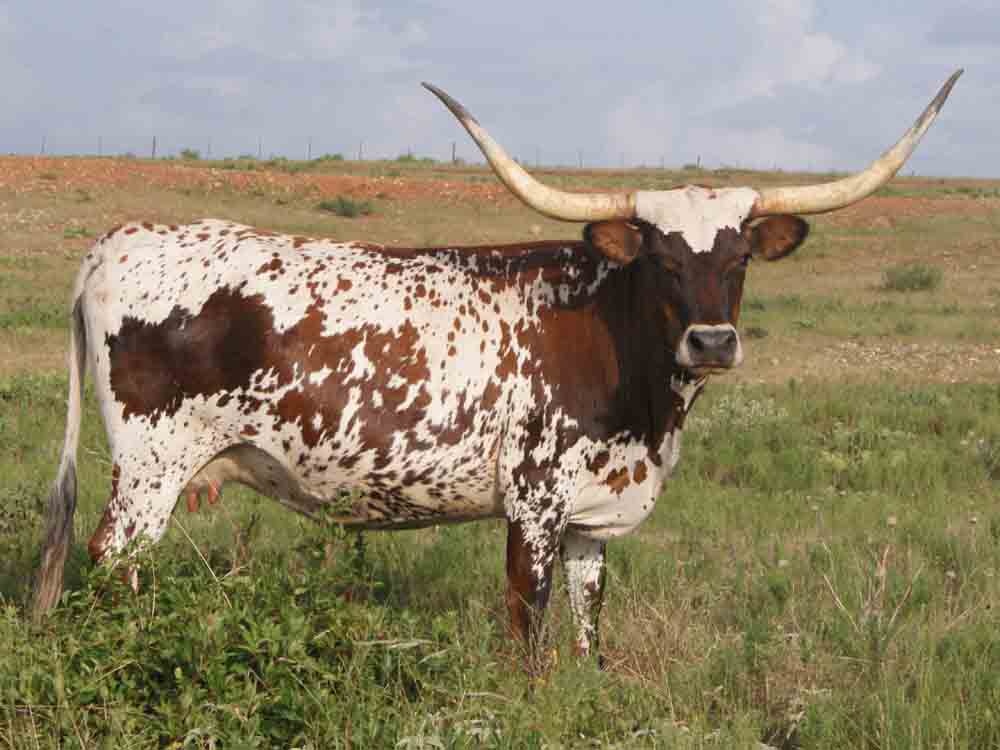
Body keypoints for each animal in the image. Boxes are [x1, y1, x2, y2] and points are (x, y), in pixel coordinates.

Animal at [33, 71, 960, 662]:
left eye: (737, 258)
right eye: (661, 258)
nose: (712, 342)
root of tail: (119, 240)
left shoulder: (591, 519)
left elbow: (588, 632)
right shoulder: (534, 506)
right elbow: (528, 630)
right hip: (151, 467)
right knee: (110, 563)